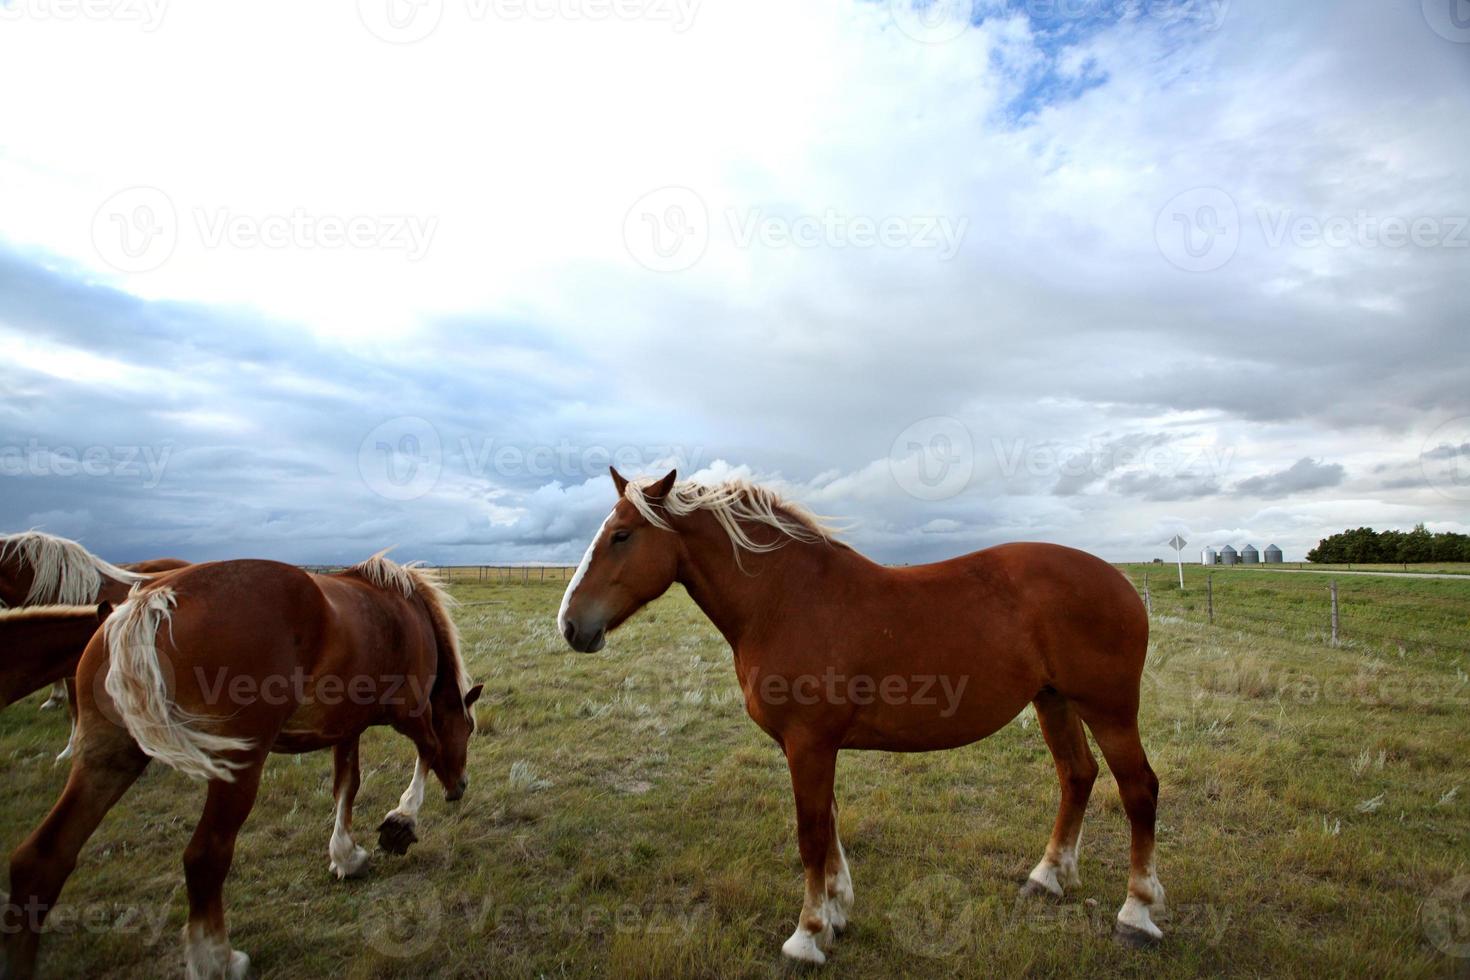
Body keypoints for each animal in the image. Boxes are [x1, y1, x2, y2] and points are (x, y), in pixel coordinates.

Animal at [1, 555, 482, 975]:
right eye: (469, 727)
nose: (460, 787)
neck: (404, 610)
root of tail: (152, 603)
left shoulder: (346, 727)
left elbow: (348, 784)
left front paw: (346, 856)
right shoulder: (410, 712)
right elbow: (427, 751)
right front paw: (400, 823)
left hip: (107, 759)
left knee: (41, 861)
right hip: (237, 768)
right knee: (204, 857)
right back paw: (218, 960)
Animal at [555, 473, 1164, 963]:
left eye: (622, 535)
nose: (570, 625)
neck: (785, 600)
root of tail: (1120, 582)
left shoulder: (809, 743)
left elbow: (810, 833)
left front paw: (806, 936)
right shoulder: (808, 746)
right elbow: (828, 821)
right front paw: (836, 912)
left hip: (1109, 710)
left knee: (1138, 789)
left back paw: (1136, 913)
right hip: (1053, 700)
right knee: (1077, 776)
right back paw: (1048, 877)